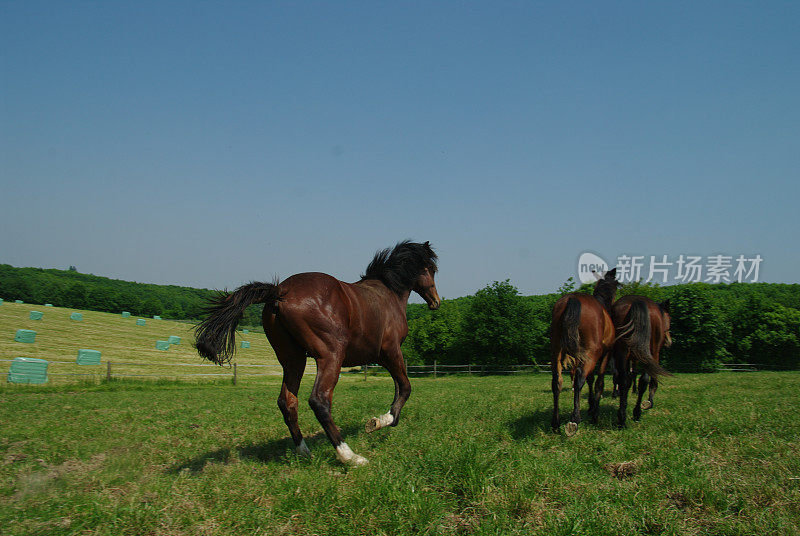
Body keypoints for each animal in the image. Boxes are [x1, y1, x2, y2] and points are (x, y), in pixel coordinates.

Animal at [195, 242, 444, 464]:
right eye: (431, 269)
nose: (436, 301)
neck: (387, 293)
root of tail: (280, 291)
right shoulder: (391, 352)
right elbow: (405, 387)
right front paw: (381, 421)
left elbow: (399, 387)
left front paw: (384, 420)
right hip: (331, 356)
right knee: (319, 401)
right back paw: (350, 456)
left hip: (293, 360)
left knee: (287, 402)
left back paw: (304, 452)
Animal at [552, 268, 620, 436]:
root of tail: (572, 299)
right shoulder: (604, 355)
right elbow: (598, 381)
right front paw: (594, 412)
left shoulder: (580, 356)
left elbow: (590, 378)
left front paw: (590, 405)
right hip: (591, 353)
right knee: (579, 378)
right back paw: (574, 419)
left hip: (556, 350)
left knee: (557, 381)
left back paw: (555, 422)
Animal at [616, 296, 672, 426]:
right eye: (669, 319)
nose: (669, 341)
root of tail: (638, 301)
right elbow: (651, 381)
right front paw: (649, 402)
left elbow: (629, 379)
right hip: (651, 352)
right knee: (644, 381)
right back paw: (637, 412)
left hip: (622, 352)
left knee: (623, 380)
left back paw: (622, 416)